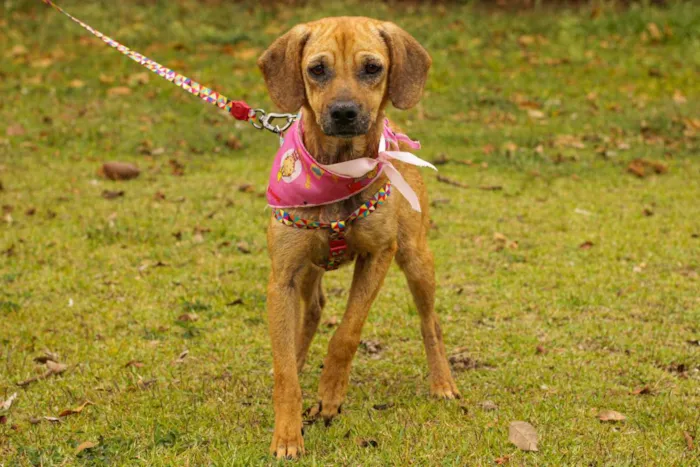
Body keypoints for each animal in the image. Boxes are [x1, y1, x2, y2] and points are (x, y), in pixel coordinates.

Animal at [258, 17, 460, 460]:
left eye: (372, 68)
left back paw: (442, 382)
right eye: (317, 69)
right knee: (313, 310)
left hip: (416, 259)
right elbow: (283, 369)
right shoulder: (282, 278)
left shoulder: (378, 255)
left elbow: (347, 334)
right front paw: (288, 433)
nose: (345, 112)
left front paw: (330, 397)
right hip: (307, 270)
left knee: (431, 323)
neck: (338, 168)